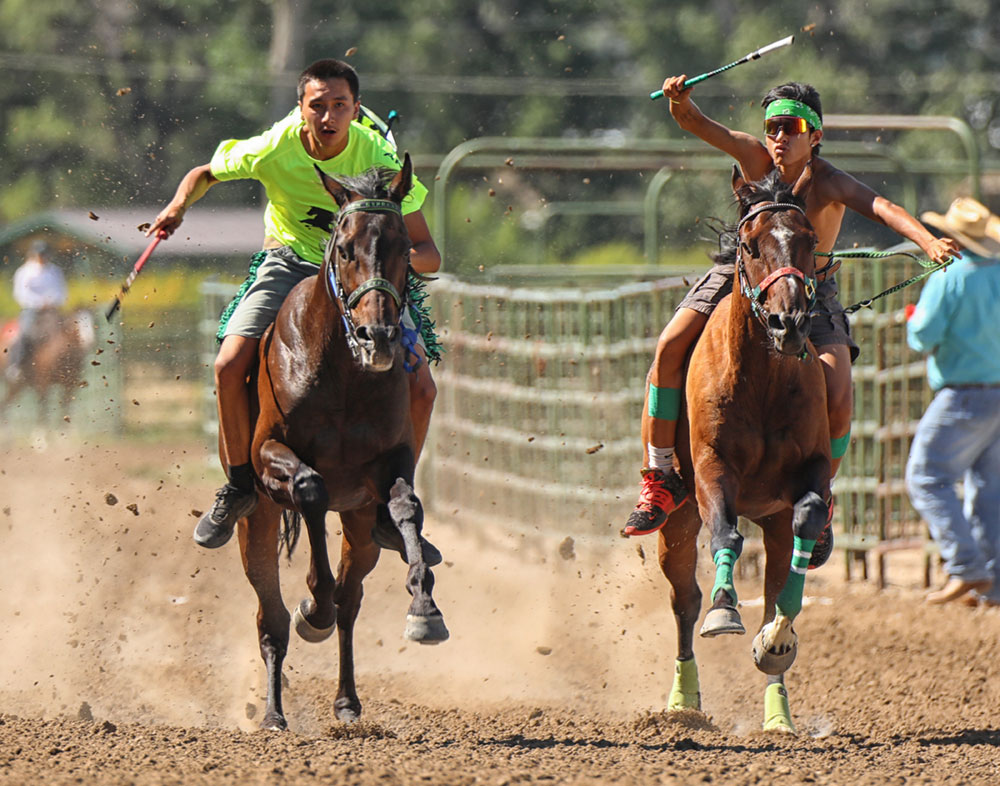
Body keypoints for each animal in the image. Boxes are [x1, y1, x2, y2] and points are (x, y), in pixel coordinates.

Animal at [238, 153, 447, 731]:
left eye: (402, 245)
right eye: (346, 247)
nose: (379, 337)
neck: (344, 371)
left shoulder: (386, 467)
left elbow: (406, 505)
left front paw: (425, 611)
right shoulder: (270, 457)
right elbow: (310, 487)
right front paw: (314, 604)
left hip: (357, 522)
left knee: (351, 601)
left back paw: (348, 702)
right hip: (256, 522)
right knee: (271, 615)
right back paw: (273, 712)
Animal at [658, 164, 831, 732]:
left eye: (808, 240)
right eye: (751, 245)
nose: (789, 322)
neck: (763, 381)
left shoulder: (811, 471)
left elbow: (806, 519)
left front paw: (777, 636)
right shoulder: (713, 469)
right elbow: (725, 534)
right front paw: (724, 609)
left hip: (771, 523)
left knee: (777, 579)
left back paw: (778, 707)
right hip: (675, 521)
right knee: (683, 600)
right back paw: (683, 701)